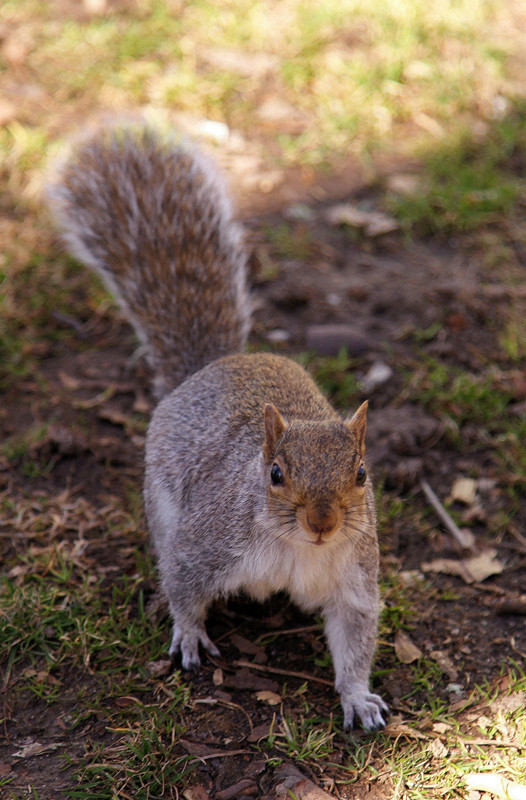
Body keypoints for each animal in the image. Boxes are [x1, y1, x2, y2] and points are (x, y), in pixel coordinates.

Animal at [47, 123, 390, 732]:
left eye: (361, 474)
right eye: (275, 473)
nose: (323, 523)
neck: (295, 548)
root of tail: (212, 366)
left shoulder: (354, 575)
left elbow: (354, 638)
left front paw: (358, 697)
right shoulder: (206, 542)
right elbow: (185, 584)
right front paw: (188, 634)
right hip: (161, 502)